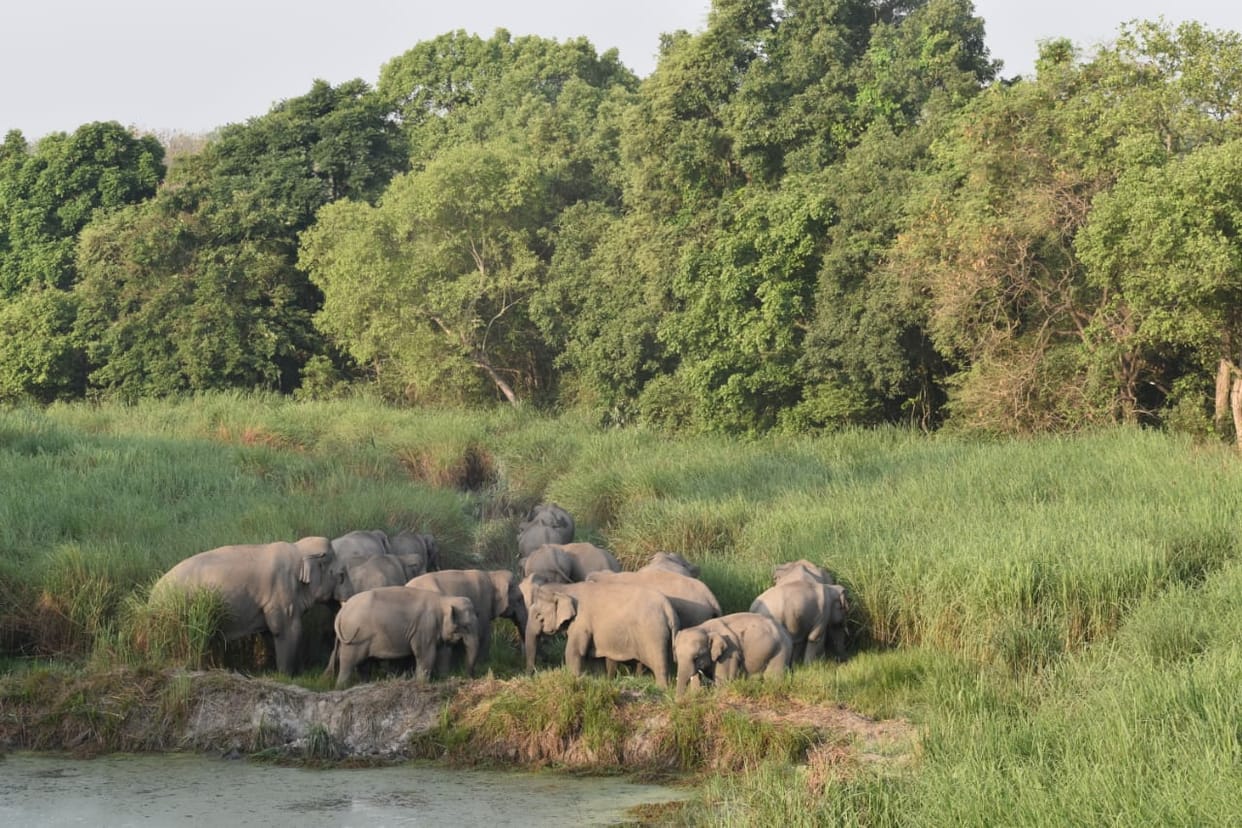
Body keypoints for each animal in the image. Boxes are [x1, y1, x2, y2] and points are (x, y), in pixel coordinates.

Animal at [150, 536, 354, 675]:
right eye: (342, 575)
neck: (298, 549)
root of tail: (152, 596)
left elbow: (269, 633)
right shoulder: (280, 591)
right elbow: (286, 629)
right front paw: (288, 675)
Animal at [325, 586, 479, 687]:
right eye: (466, 626)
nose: (469, 676)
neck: (444, 600)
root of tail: (342, 610)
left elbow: (444, 653)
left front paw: (444, 678)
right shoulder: (424, 627)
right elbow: (426, 655)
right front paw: (422, 683)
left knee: (362, 663)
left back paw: (363, 684)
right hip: (355, 638)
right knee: (349, 661)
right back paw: (341, 687)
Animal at [524, 581, 678, 687]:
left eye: (539, 616)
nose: (532, 676)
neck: (566, 588)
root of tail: (668, 608)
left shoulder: (581, 622)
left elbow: (574, 651)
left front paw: (574, 679)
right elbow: (594, 658)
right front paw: (599, 680)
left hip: (654, 635)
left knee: (658, 663)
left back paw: (661, 688)